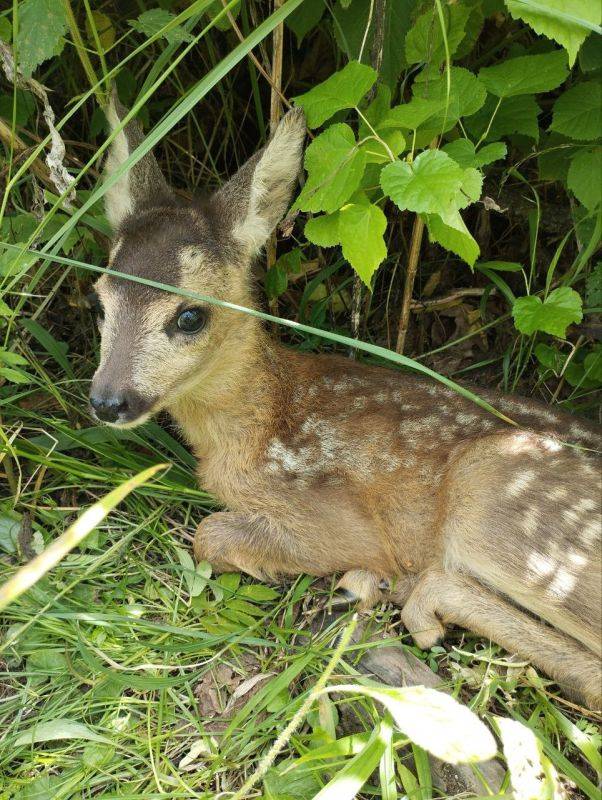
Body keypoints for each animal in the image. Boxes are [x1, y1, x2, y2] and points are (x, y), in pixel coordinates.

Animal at [89, 97, 600, 708]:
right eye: (98, 304)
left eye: (190, 316)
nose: (107, 401)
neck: (258, 424)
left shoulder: (338, 521)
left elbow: (208, 533)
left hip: (493, 491)